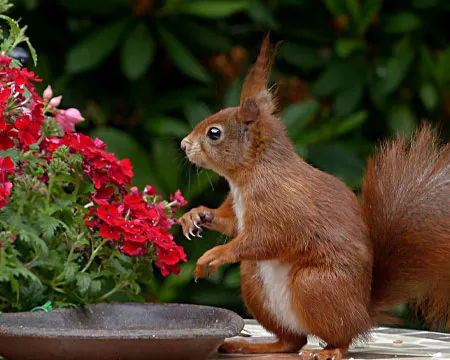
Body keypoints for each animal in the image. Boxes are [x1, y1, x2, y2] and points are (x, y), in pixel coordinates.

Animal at [178, 36, 450, 360]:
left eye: (214, 133)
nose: (183, 145)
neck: (250, 174)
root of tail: (363, 313)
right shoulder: (238, 208)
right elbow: (232, 224)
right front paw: (195, 215)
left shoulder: (280, 205)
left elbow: (266, 238)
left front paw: (214, 255)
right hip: (254, 281)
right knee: (292, 341)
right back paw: (251, 344)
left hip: (314, 285)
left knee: (339, 338)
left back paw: (329, 350)